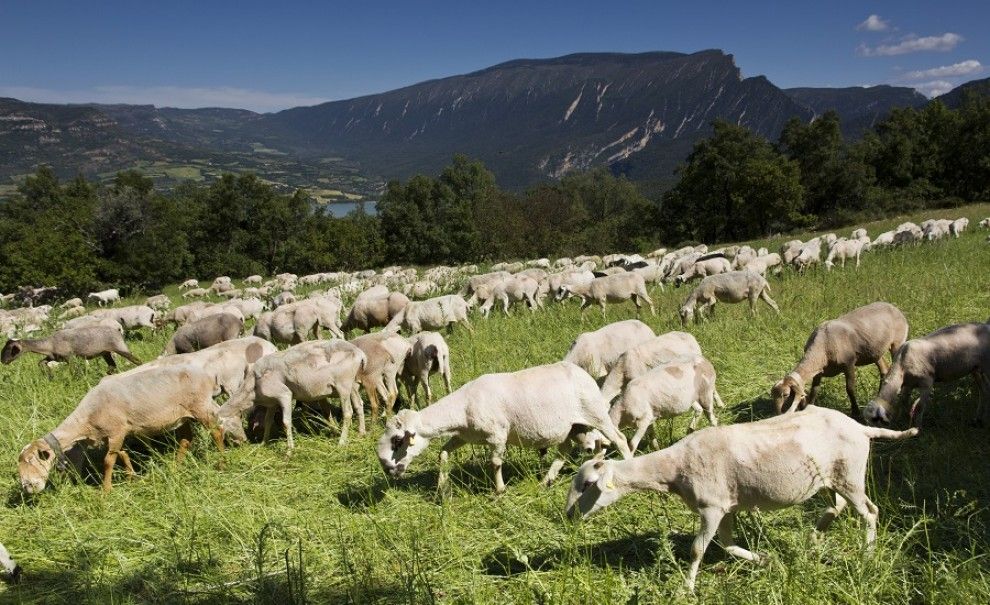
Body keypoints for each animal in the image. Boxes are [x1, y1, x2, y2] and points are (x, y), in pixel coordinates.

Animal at [0, 326, 141, 372]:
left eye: (10, 350)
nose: (3, 361)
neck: (49, 344)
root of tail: (118, 330)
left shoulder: (70, 357)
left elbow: (74, 371)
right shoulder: (54, 357)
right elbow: (41, 363)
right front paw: (48, 374)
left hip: (119, 347)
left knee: (136, 360)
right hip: (105, 352)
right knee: (112, 366)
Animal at [222, 340, 368, 448]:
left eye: (224, 425)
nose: (242, 441)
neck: (251, 387)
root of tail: (360, 353)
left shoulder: (284, 394)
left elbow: (286, 421)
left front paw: (289, 449)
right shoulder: (272, 403)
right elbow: (268, 421)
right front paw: (263, 443)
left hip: (343, 385)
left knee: (348, 413)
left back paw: (341, 442)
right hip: (352, 385)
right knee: (359, 405)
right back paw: (361, 433)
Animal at [376, 358, 632, 490]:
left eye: (397, 441)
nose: (388, 470)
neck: (463, 406)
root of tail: (581, 372)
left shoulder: (497, 435)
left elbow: (496, 462)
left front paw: (499, 490)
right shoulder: (464, 436)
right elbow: (443, 452)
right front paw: (441, 486)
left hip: (595, 413)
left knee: (618, 439)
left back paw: (626, 463)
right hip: (575, 426)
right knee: (568, 451)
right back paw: (551, 479)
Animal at [564, 404, 924, 592]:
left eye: (587, 485)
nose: (567, 516)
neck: (674, 467)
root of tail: (860, 428)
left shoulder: (711, 507)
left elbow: (697, 550)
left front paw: (686, 588)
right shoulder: (727, 507)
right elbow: (727, 545)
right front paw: (765, 560)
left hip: (850, 474)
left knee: (869, 512)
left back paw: (866, 555)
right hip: (830, 479)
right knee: (836, 506)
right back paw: (813, 539)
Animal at [772, 300, 912, 418]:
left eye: (786, 394)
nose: (778, 415)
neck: (822, 347)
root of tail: (894, 307)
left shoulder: (849, 364)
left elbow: (850, 389)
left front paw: (856, 412)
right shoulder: (819, 372)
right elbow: (814, 390)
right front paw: (810, 407)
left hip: (897, 343)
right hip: (875, 351)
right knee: (884, 370)